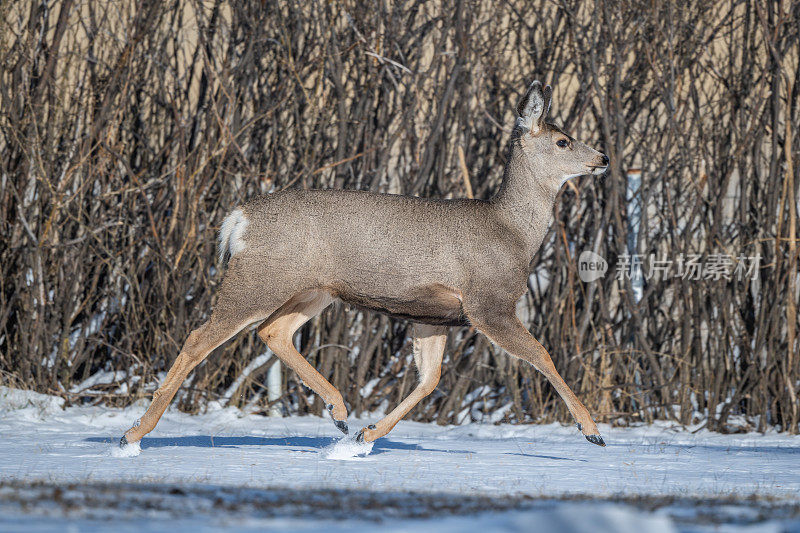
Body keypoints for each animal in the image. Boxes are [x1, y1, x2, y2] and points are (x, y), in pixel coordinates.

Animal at [117, 79, 608, 448]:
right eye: (563, 140)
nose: (602, 158)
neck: (511, 231)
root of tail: (240, 218)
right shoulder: (489, 303)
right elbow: (542, 354)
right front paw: (592, 431)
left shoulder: (434, 316)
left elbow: (429, 379)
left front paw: (368, 435)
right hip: (259, 278)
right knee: (201, 337)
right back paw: (133, 434)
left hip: (313, 289)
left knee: (273, 332)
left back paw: (339, 412)